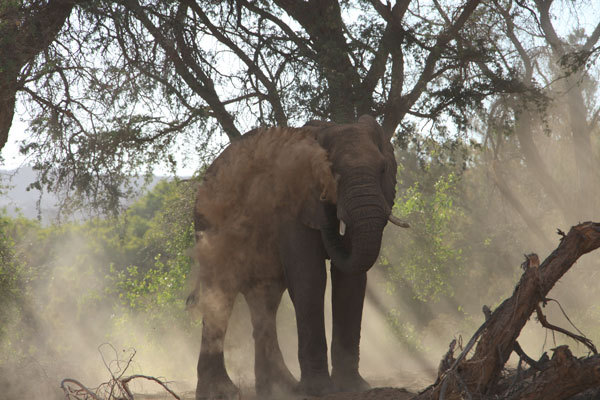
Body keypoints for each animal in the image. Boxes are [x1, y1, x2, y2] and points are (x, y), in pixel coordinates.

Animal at [188, 114, 404, 398]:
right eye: (332, 172)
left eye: (382, 170)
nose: (328, 210)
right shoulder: (291, 204)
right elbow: (309, 278)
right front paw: (320, 390)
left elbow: (350, 279)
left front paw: (354, 387)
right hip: (209, 225)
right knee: (221, 293)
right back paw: (221, 391)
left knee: (265, 299)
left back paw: (279, 388)